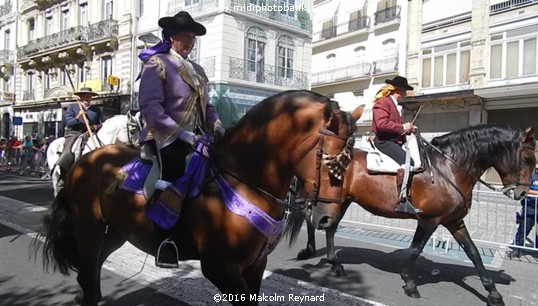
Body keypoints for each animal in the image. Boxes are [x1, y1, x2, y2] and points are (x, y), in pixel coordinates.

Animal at [32, 91, 360, 306]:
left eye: (350, 159)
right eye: (331, 160)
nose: (326, 218)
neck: (243, 179)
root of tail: (85, 159)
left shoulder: (255, 265)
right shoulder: (220, 268)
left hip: (113, 233)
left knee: (91, 276)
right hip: (89, 228)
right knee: (89, 279)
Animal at [282, 124, 532, 306]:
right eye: (529, 158)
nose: (522, 193)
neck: (448, 169)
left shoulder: (454, 221)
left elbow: (473, 253)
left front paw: (493, 293)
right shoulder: (429, 220)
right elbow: (415, 249)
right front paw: (410, 283)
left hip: (340, 202)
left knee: (328, 227)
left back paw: (334, 263)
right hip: (332, 201)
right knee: (314, 220)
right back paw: (313, 252)